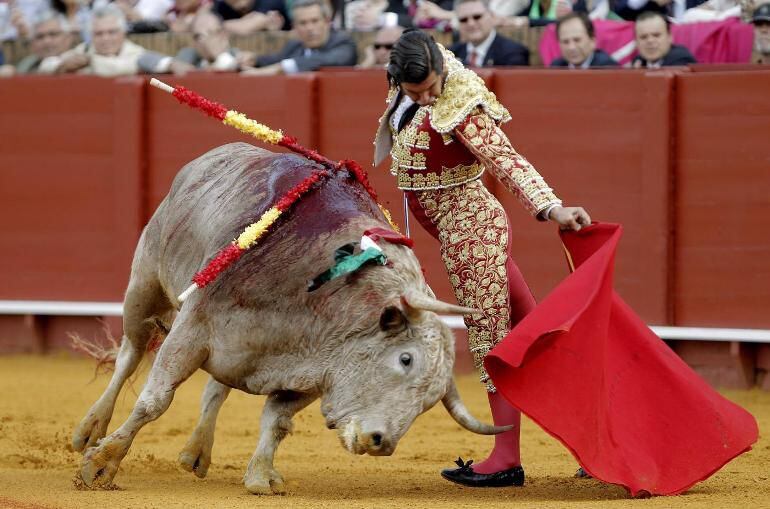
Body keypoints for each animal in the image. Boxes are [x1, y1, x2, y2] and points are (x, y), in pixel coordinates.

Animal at [70, 143, 504, 492]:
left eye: (429, 400)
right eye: (406, 358)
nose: (381, 442)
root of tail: (207, 160)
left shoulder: (313, 371)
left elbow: (276, 420)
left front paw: (261, 477)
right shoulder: (193, 327)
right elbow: (154, 400)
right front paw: (101, 464)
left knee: (215, 389)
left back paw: (197, 452)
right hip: (144, 285)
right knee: (129, 356)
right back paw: (89, 430)